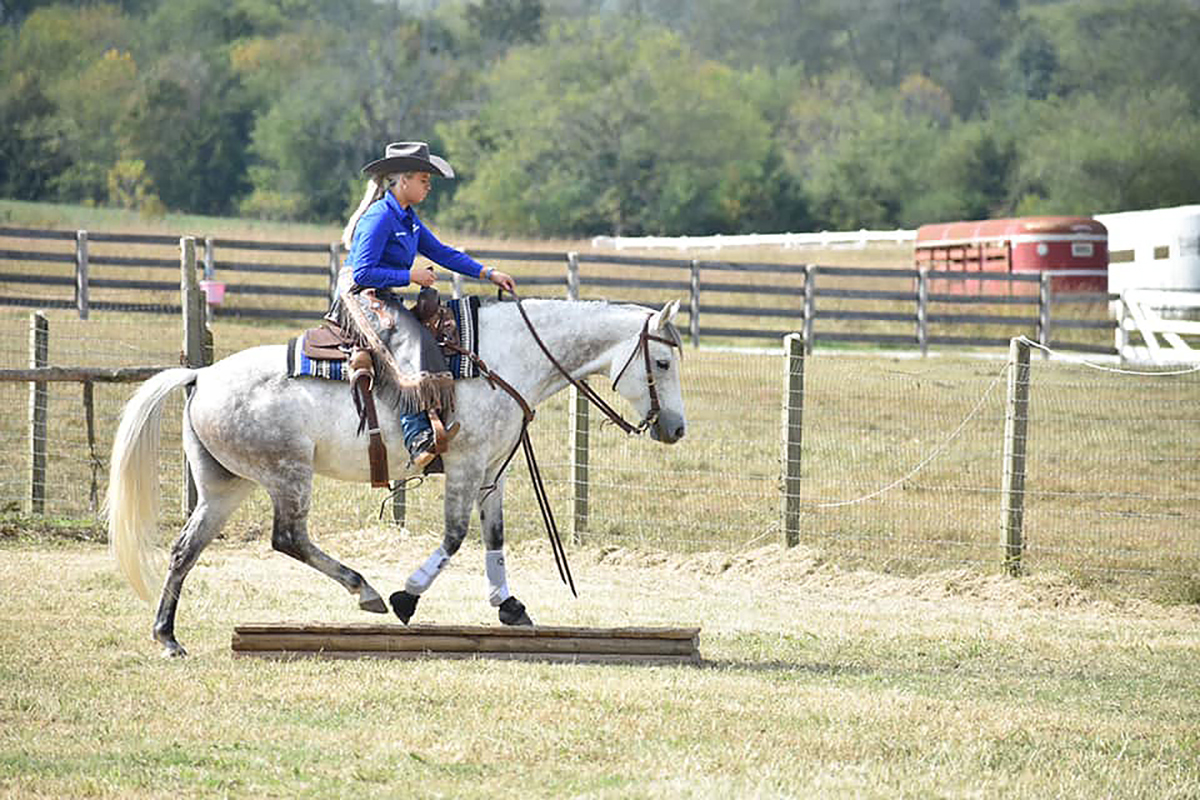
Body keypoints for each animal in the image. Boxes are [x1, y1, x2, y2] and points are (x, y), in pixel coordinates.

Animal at [107, 297, 687, 657]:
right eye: (661, 362)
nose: (677, 428)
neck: (503, 359)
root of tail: (201, 374)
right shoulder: (465, 463)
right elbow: (454, 536)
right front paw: (408, 596)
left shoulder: (491, 471)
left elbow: (493, 538)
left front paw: (510, 607)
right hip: (287, 474)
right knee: (288, 537)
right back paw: (364, 590)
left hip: (225, 486)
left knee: (186, 549)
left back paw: (167, 636)